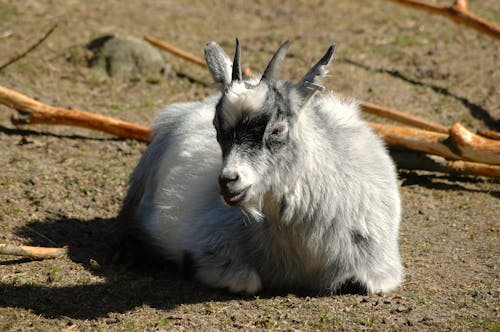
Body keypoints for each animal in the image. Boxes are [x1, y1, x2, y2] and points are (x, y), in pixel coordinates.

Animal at [119, 39, 404, 296]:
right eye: (216, 127)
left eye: (277, 130)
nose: (228, 180)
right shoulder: (209, 244)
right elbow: (245, 281)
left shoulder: (378, 265)